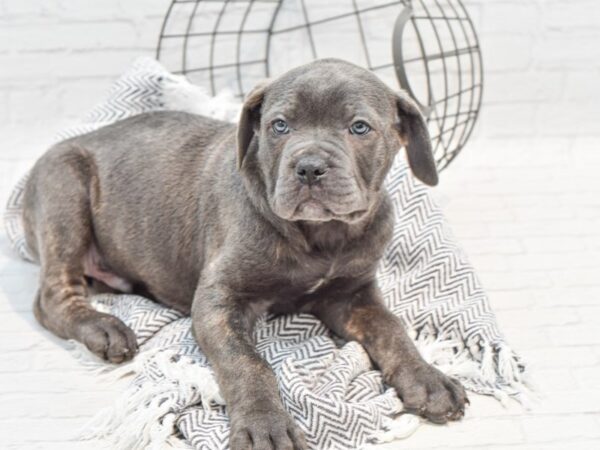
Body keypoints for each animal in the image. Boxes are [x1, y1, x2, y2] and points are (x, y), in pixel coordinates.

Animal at [24, 59, 468, 450]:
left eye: (359, 127)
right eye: (280, 126)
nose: (309, 167)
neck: (320, 235)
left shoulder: (352, 295)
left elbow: (392, 329)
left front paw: (427, 378)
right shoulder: (220, 302)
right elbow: (248, 364)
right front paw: (264, 426)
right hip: (65, 191)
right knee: (52, 296)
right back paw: (103, 328)